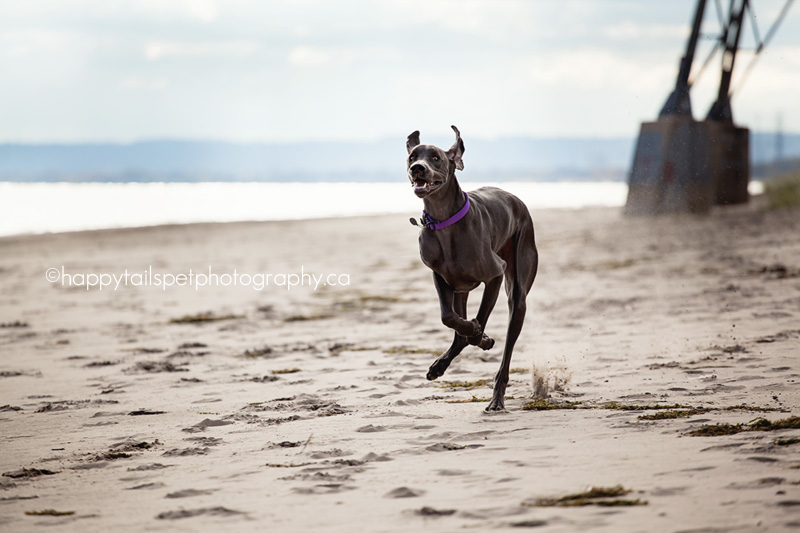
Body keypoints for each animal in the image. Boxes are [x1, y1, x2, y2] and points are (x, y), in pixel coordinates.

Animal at [406, 125, 536, 412]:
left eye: (436, 158)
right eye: (412, 156)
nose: (417, 168)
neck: (444, 222)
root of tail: (516, 199)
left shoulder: (495, 274)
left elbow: (479, 320)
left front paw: (482, 336)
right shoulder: (440, 277)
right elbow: (449, 318)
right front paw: (474, 333)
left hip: (518, 287)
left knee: (507, 349)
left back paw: (496, 399)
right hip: (460, 290)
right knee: (458, 331)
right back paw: (439, 366)